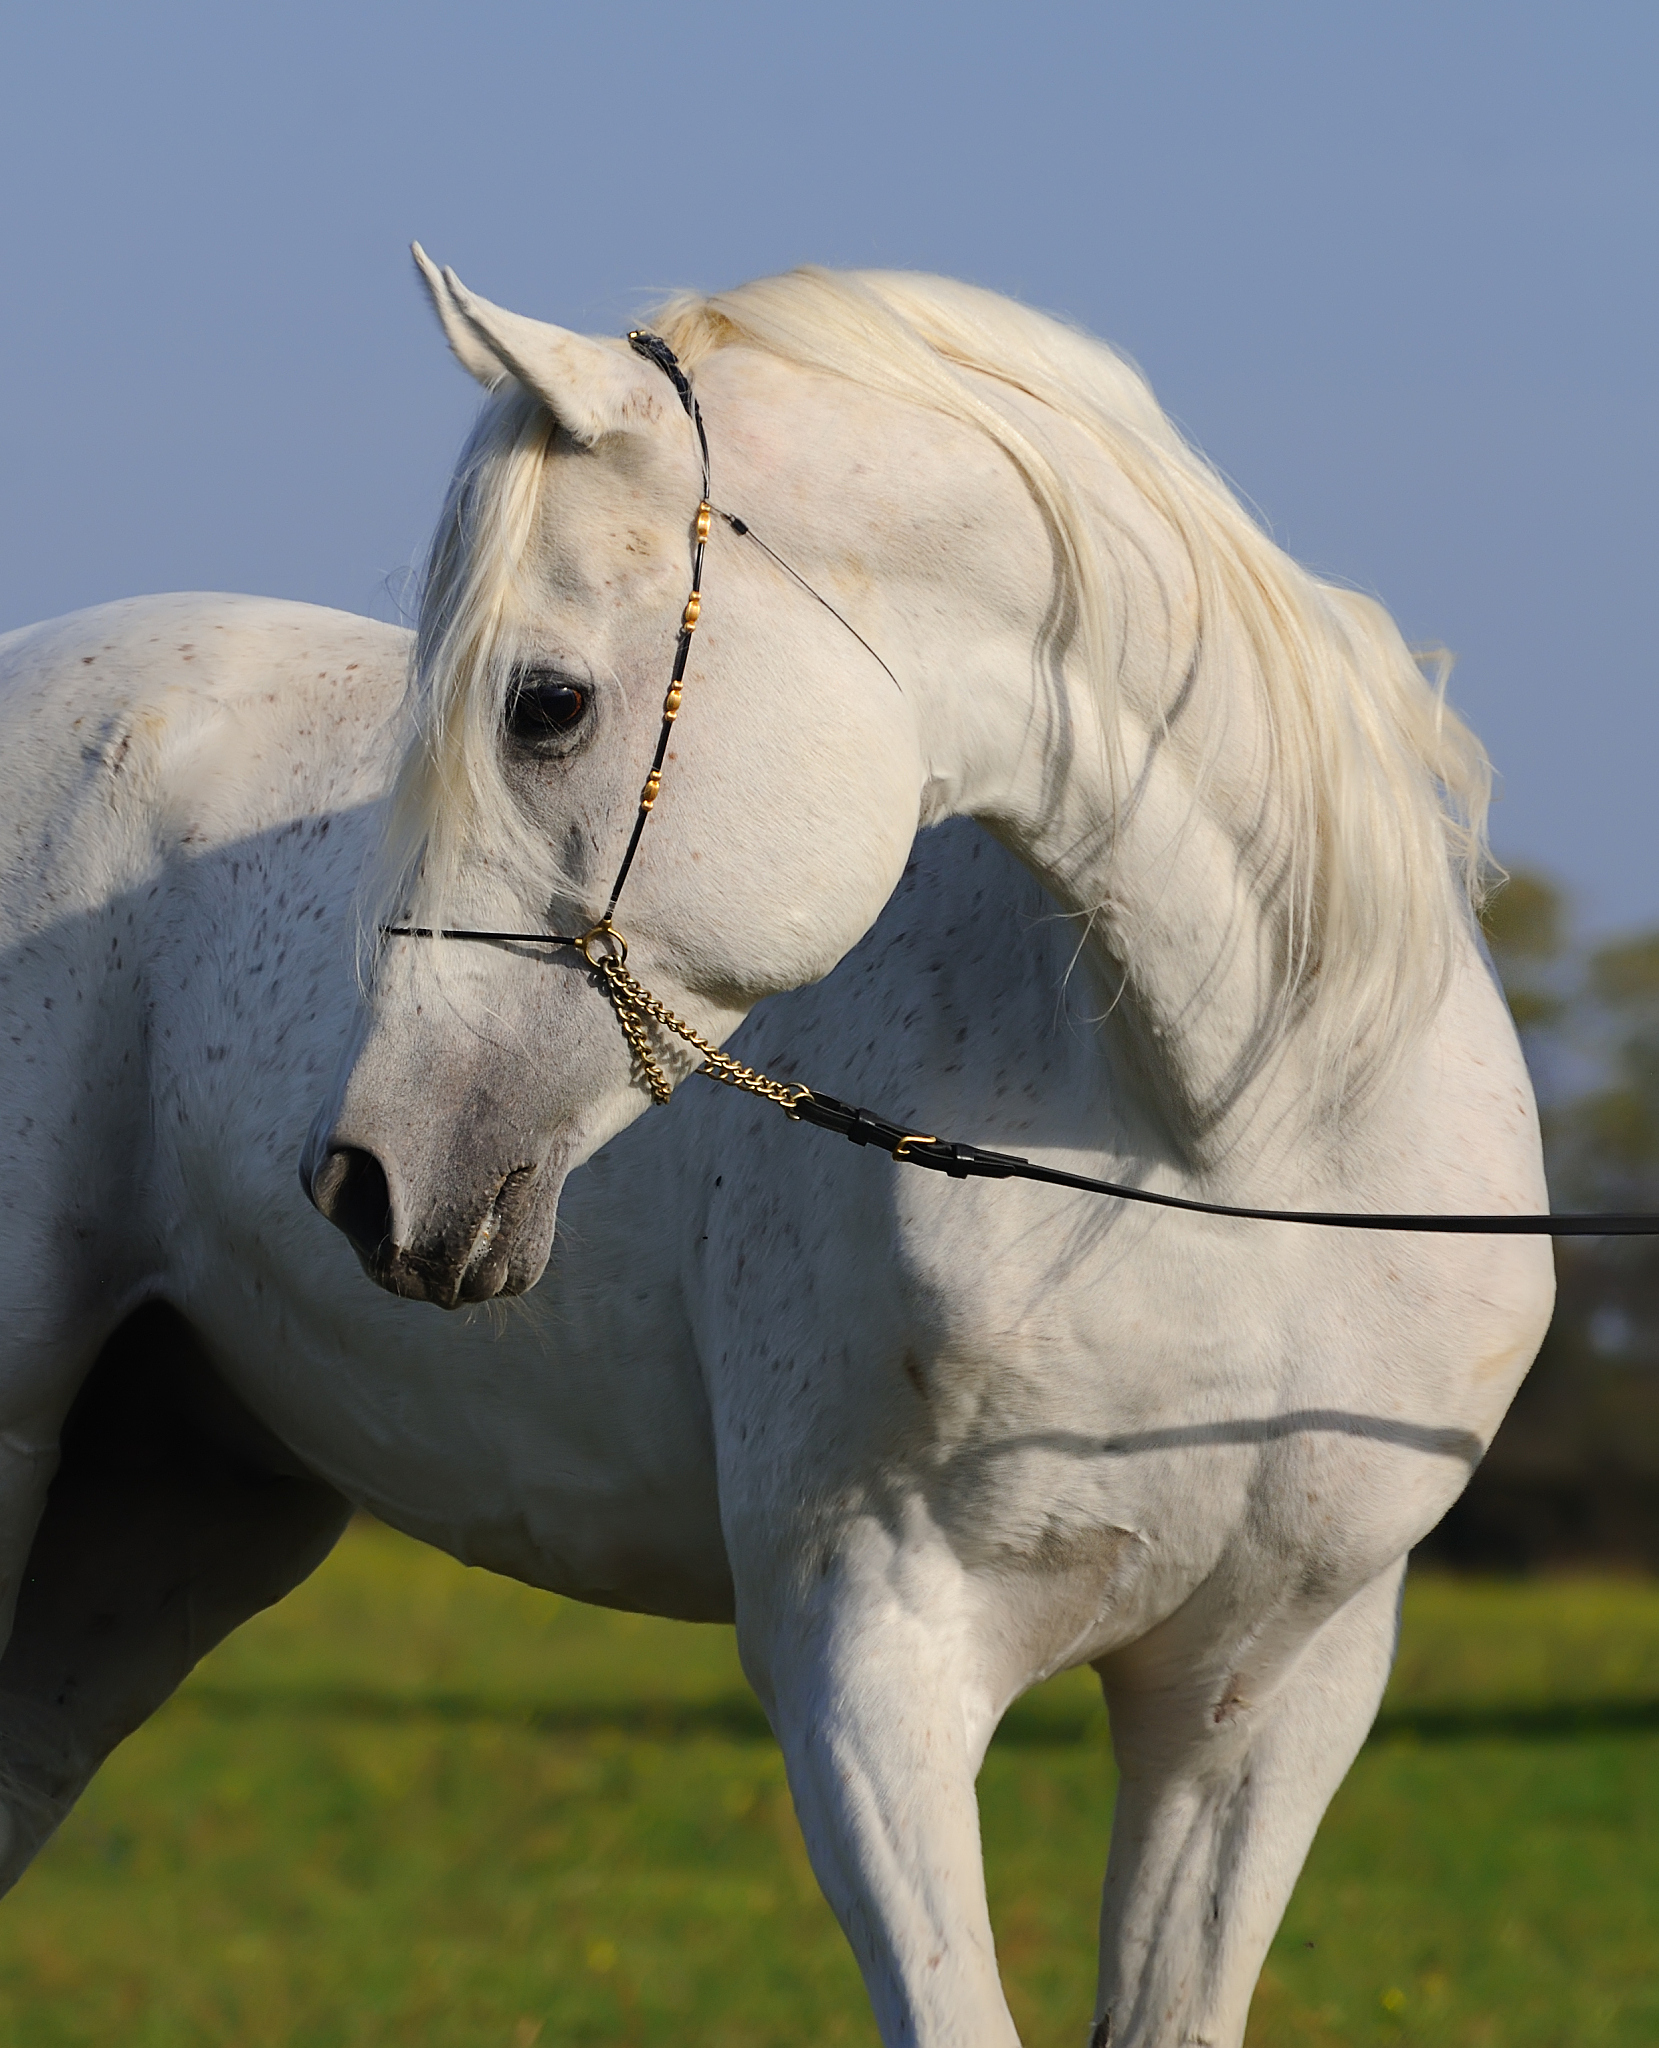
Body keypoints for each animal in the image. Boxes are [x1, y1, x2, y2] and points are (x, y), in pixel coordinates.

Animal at [0, 256, 1553, 2048]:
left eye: (544, 705)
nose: (368, 1180)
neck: (1229, 1145)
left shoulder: (1267, 1695)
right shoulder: (868, 1664)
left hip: (163, 1529)